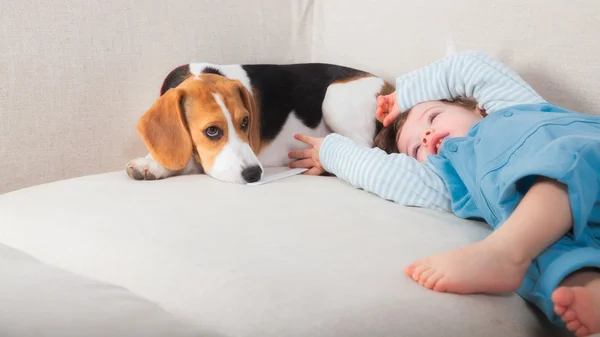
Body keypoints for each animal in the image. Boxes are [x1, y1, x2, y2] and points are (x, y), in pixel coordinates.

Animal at [126, 63, 396, 184]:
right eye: (211, 131)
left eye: (246, 122)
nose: (253, 174)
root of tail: (388, 85)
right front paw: (151, 163)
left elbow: (190, 161)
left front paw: (152, 164)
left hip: (334, 99)